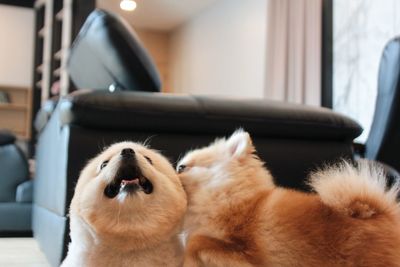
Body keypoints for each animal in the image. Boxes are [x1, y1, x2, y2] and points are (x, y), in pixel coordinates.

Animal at [178, 131, 400, 267]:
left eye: (182, 167)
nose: (174, 170)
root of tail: (385, 214)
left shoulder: (245, 252)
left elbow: (195, 241)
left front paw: (188, 260)